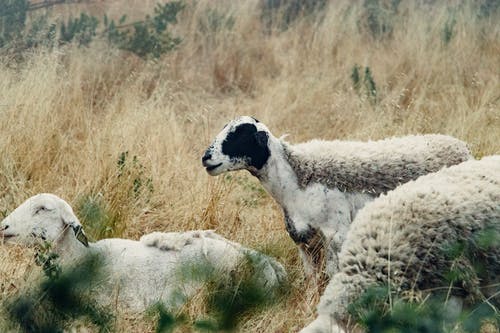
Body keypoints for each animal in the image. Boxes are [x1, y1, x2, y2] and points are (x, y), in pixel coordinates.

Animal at [200, 115, 472, 276]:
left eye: (240, 136)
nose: (206, 158)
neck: (295, 181)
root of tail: (462, 147)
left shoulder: (335, 234)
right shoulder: (303, 242)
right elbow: (312, 279)